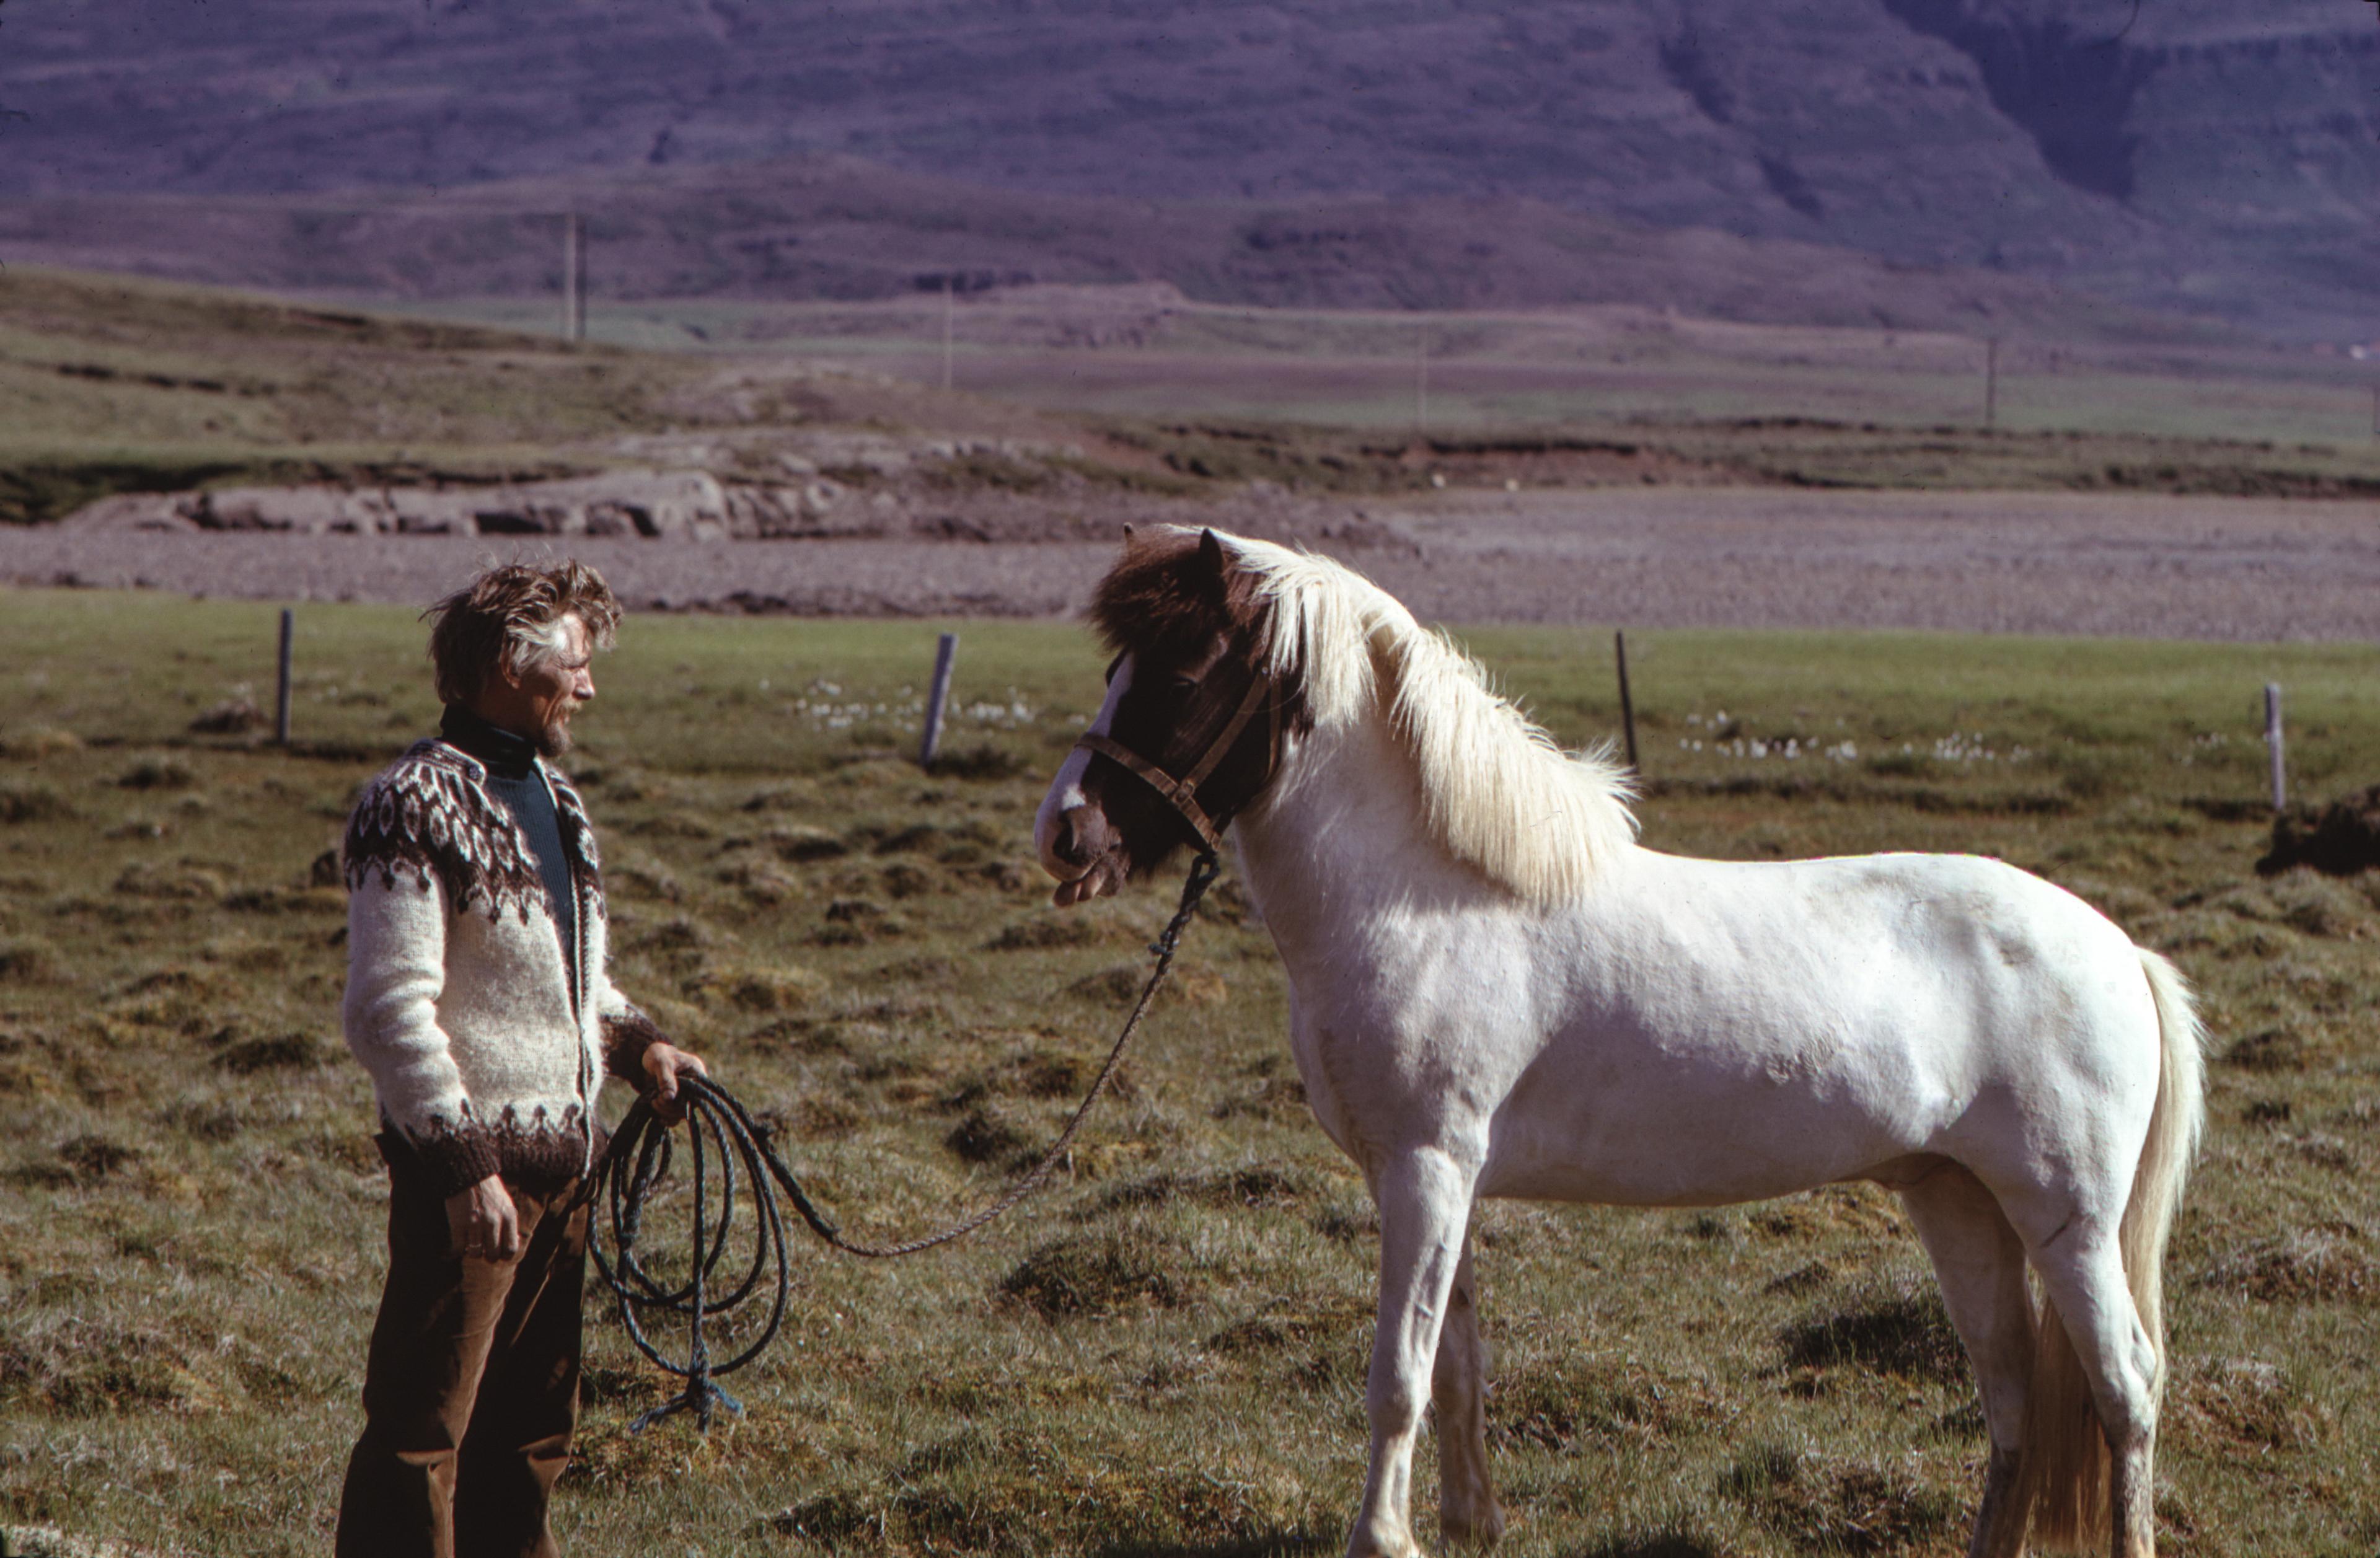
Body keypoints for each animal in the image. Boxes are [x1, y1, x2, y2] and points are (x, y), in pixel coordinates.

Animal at [1031, 526, 2205, 1558]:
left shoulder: (1426, 1167)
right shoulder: (1442, 1178)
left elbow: (1399, 1374)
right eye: (1117, 665)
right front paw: (1468, 1525)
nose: (1067, 833)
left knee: (2125, 1386)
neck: (1430, 896)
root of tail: (2121, 948)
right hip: (1957, 1200)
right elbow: (1456, 1366)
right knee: (2014, 1402)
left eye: (1186, 671)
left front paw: (1382, 1535)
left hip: (2068, 1222)